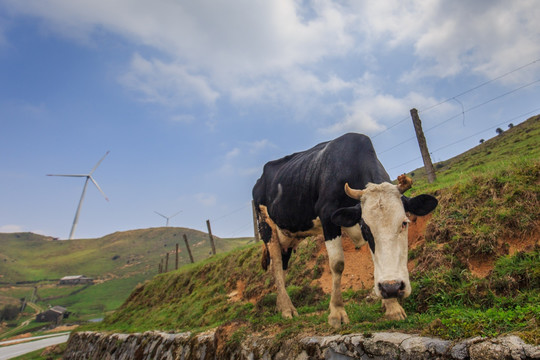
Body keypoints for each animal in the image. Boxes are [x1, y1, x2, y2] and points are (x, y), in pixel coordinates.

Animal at [254, 133, 438, 330]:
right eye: (366, 227)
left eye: (404, 223)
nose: (392, 287)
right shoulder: (327, 216)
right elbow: (337, 264)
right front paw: (337, 312)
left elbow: (375, 260)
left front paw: (392, 306)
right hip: (267, 227)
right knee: (277, 265)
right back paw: (287, 309)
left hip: (288, 236)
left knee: (280, 266)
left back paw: (281, 306)